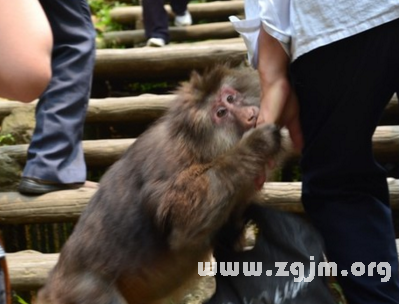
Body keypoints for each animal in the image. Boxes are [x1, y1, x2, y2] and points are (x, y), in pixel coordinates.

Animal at [36, 64, 282, 304]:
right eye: (221, 113)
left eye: (230, 98)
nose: (249, 115)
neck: (196, 144)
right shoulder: (171, 160)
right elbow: (181, 223)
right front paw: (255, 144)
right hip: (86, 292)